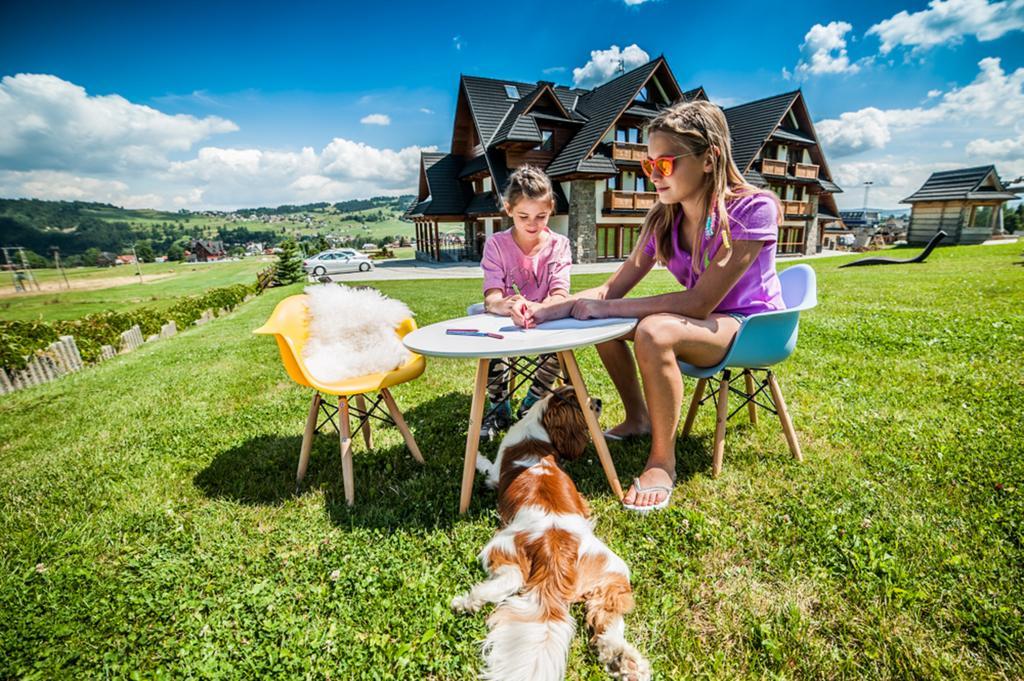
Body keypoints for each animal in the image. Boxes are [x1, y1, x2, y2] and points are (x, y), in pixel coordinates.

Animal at [450, 385, 647, 679]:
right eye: (583, 402)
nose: (599, 401)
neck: (537, 428)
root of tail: (555, 546)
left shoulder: (495, 474)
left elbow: (485, 466)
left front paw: (476, 457)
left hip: (500, 546)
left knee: (512, 580)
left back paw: (468, 601)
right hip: (613, 572)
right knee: (607, 618)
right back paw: (622, 660)